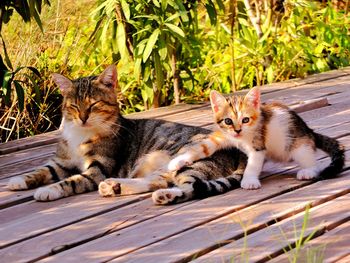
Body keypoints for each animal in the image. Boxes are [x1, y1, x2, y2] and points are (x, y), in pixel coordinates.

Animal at [6, 65, 246, 205]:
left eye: (93, 105)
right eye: (73, 106)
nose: (82, 118)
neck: (80, 134)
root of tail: (237, 150)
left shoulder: (98, 169)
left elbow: (72, 181)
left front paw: (49, 190)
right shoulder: (61, 162)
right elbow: (41, 170)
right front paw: (18, 180)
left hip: (187, 160)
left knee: (189, 187)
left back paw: (166, 196)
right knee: (157, 181)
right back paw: (115, 186)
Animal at [168, 88, 346, 190]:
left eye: (246, 120)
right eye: (228, 121)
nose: (238, 130)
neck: (241, 137)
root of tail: (309, 131)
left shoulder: (258, 145)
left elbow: (253, 164)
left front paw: (249, 181)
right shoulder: (222, 135)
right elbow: (202, 147)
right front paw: (177, 161)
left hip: (298, 145)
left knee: (308, 158)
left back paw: (308, 171)